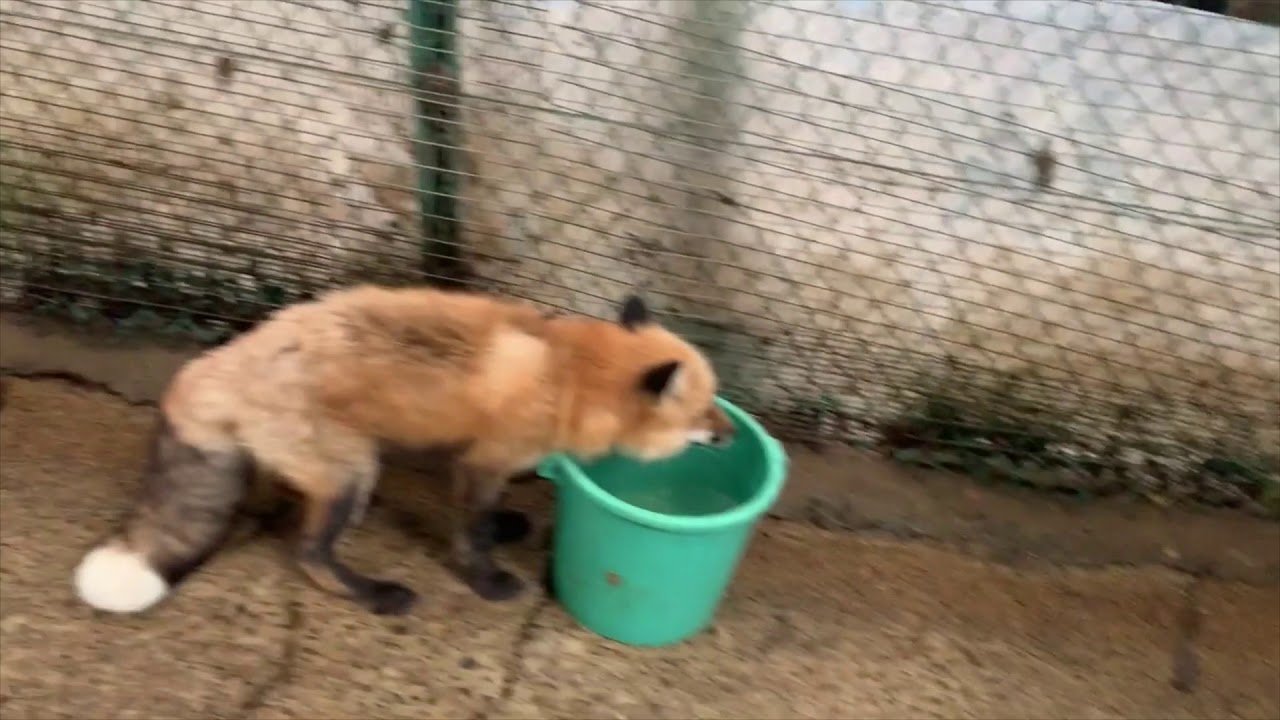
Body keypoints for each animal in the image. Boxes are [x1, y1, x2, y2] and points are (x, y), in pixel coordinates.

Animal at [72, 285, 735, 616]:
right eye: (705, 411)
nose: (730, 435)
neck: (568, 373)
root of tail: (211, 366)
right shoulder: (485, 459)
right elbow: (470, 532)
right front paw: (487, 581)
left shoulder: (464, 447)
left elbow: (479, 517)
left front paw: (504, 527)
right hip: (353, 473)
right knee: (308, 553)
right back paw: (374, 595)